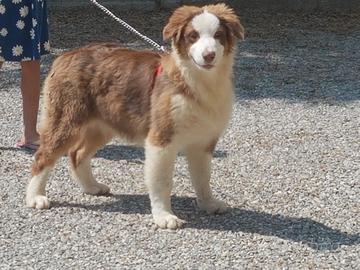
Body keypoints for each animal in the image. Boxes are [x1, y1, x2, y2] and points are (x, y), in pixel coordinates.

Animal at [25, 3, 245, 229]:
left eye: (218, 35)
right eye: (193, 36)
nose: (209, 55)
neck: (196, 82)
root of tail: (65, 56)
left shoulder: (203, 142)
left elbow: (203, 178)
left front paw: (208, 204)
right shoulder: (161, 140)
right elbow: (162, 182)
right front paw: (164, 216)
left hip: (101, 126)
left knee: (77, 153)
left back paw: (92, 186)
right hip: (66, 120)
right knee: (43, 156)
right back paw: (35, 197)